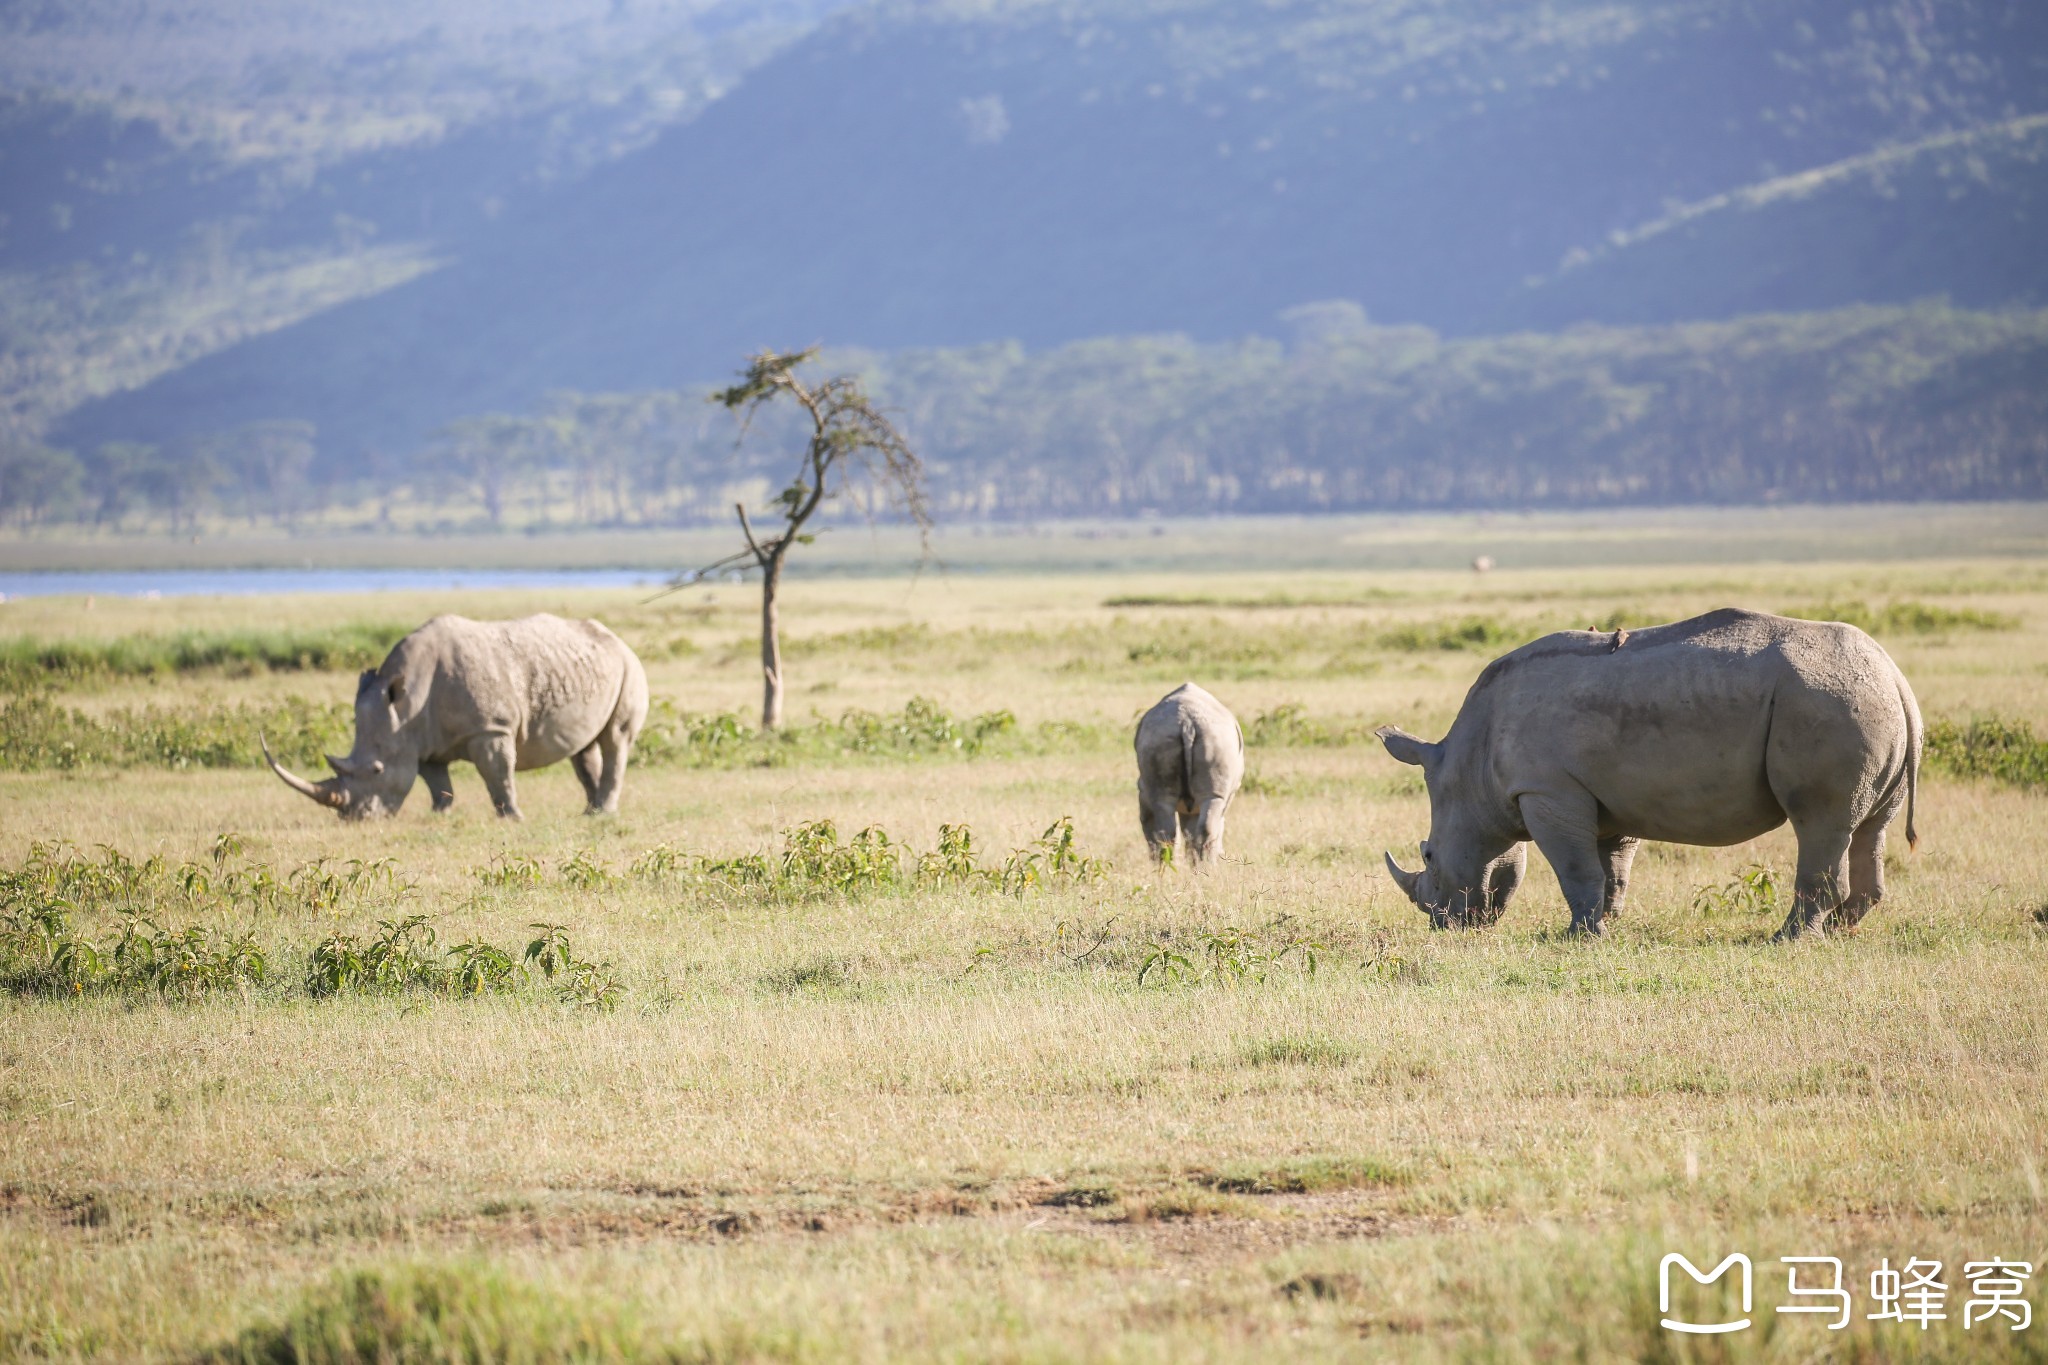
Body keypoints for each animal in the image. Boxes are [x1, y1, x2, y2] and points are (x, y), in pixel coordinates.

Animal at [264, 618, 647, 822]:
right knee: (583, 749)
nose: (355, 818)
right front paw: (440, 814)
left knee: (615, 740)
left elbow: (499, 775)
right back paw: (590, 812)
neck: (406, 704)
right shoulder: (422, 740)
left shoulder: (490, 728)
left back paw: (603, 813)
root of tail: (617, 639)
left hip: (630, 667)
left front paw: (512, 818)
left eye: (376, 770)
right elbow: (437, 781)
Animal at [1376, 609, 1916, 941]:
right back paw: (1840, 929)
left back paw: (1786, 939)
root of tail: (1895, 677)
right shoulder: (1604, 796)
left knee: (1818, 821)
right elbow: (1610, 871)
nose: (1444, 925)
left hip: (1829, 702)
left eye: (1429, 856)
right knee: (1868, 828)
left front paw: (1577, 937)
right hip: (1867, 704)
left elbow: (1575, 869)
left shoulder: (1548, 790)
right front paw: (1603, 927)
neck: (1471, 768)